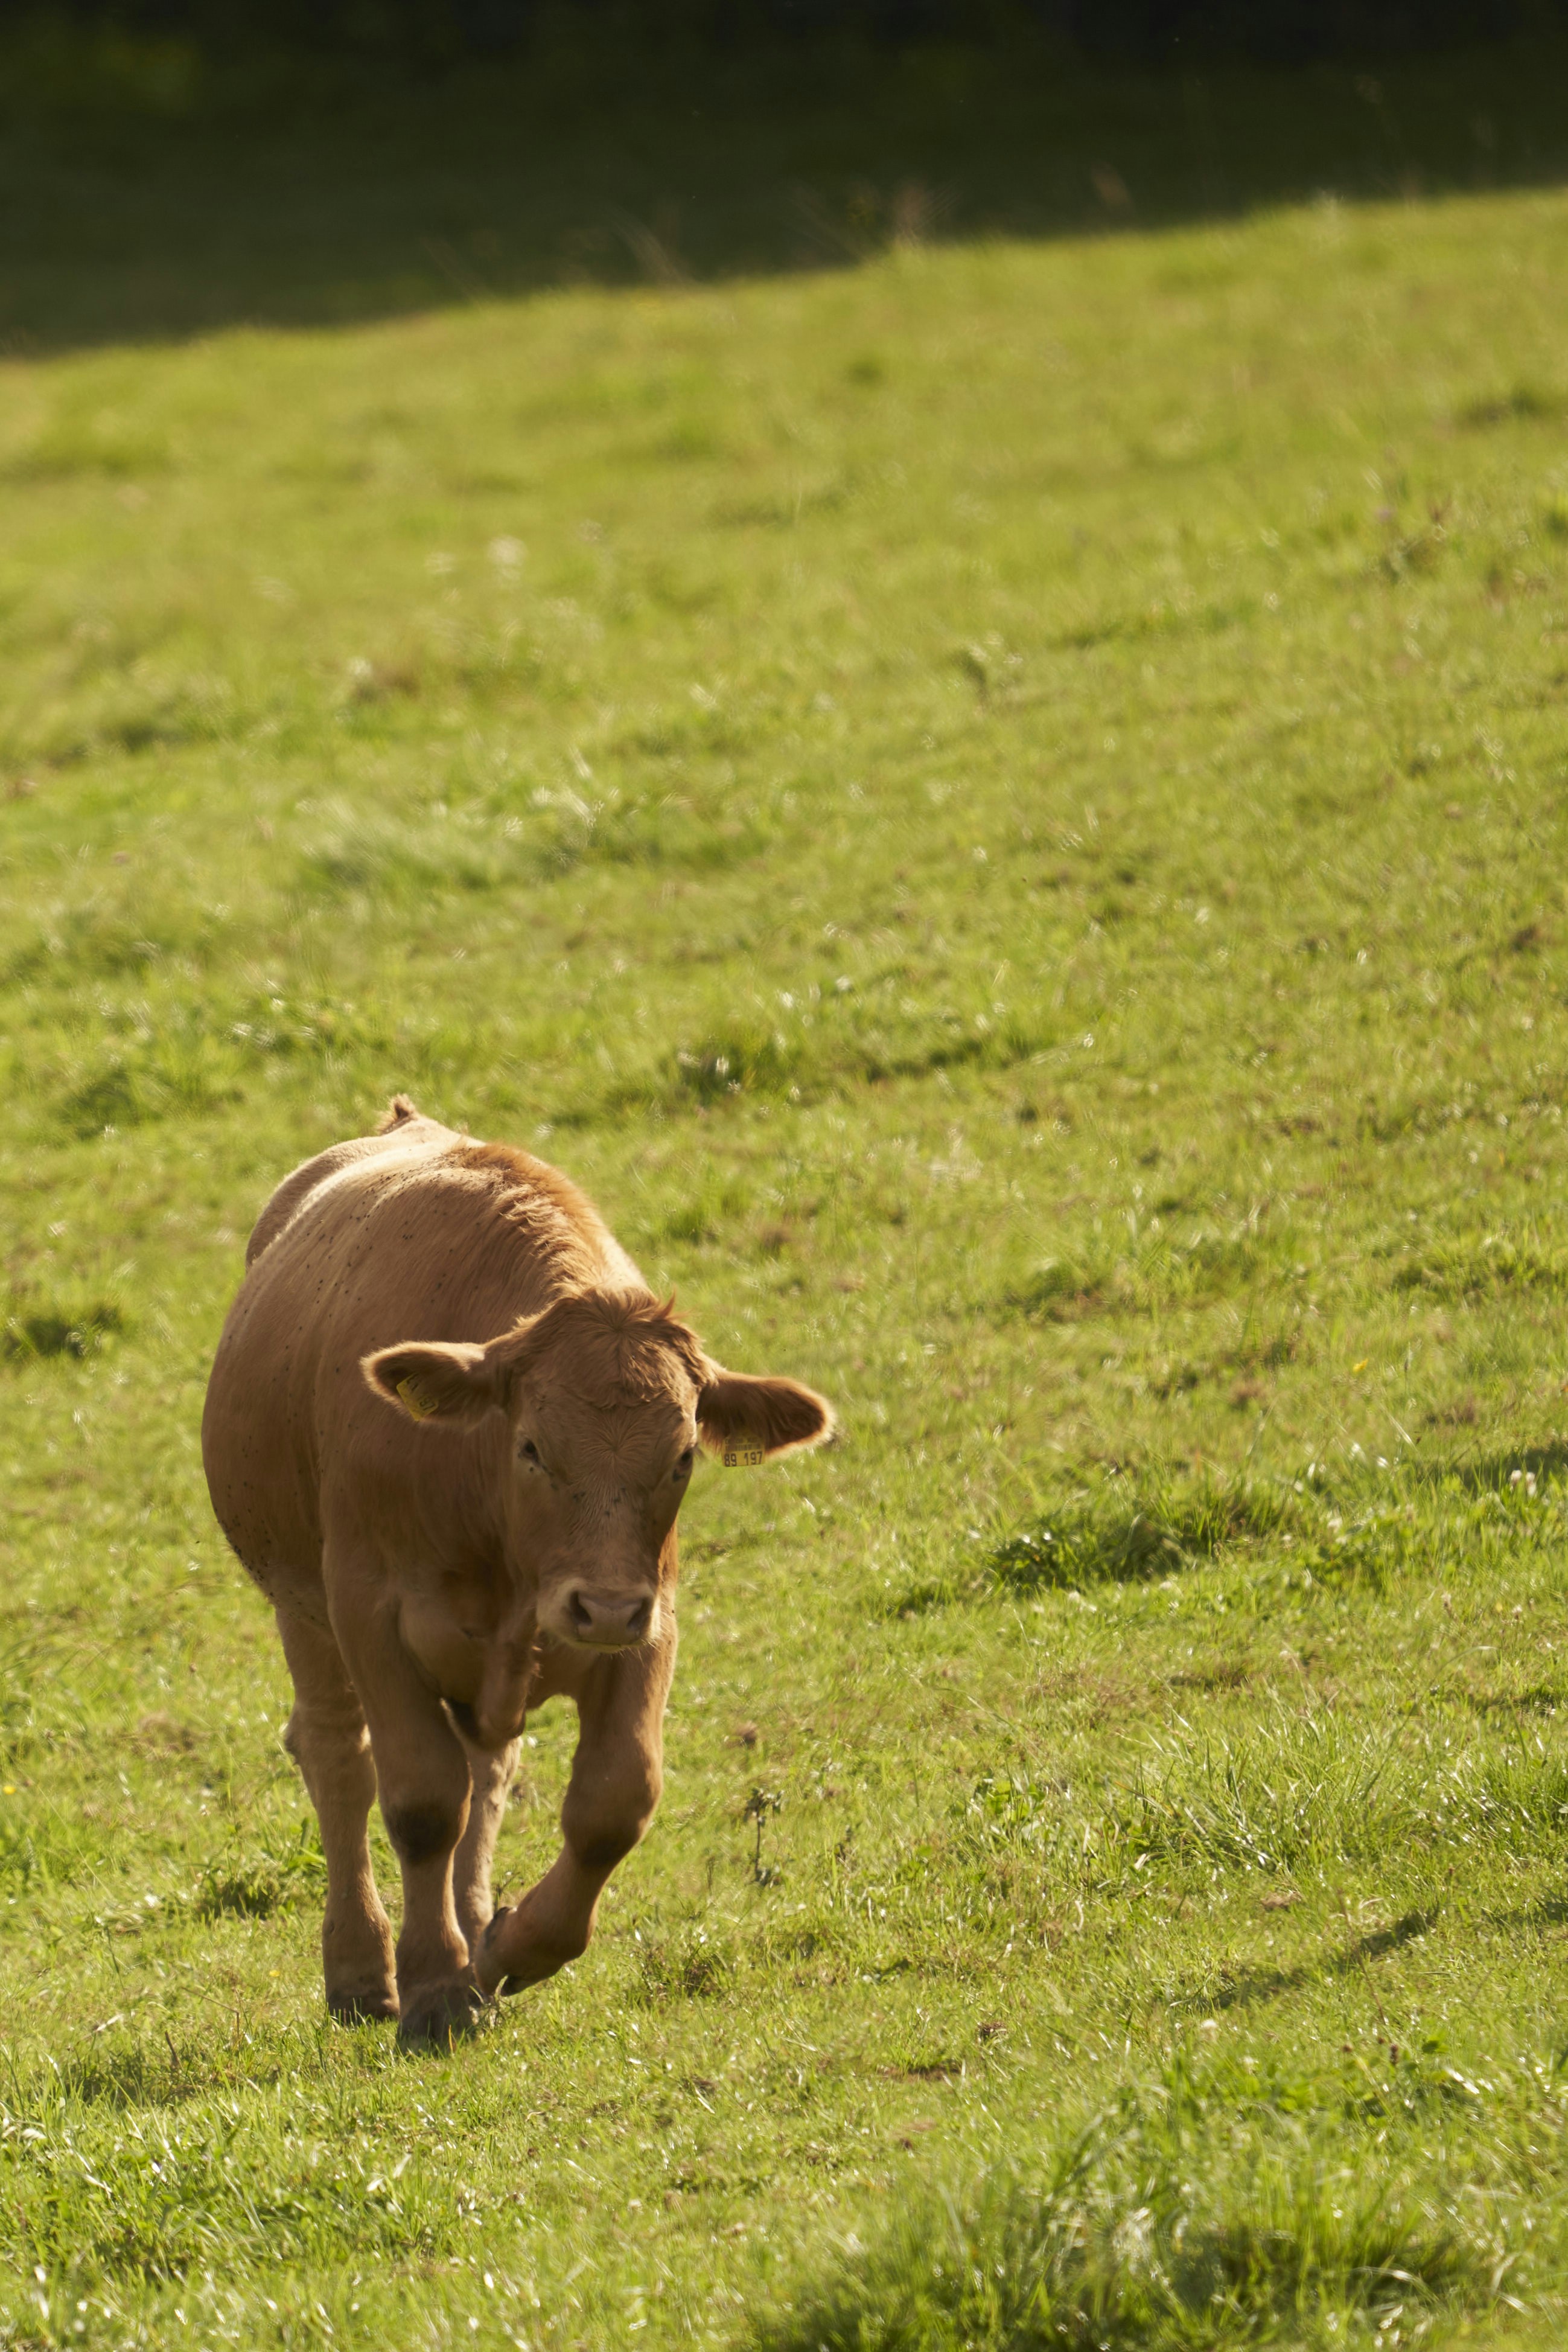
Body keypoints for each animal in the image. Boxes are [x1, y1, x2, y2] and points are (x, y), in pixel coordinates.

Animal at [201, 1097, 832, 2044]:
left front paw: (506, 1950)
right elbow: (421, 1800)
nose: (601, 1609)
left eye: (683, 1455)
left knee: (486, 1771)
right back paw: (361, 1970)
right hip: (299, 1604)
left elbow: (614, 1800)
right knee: (338, 1755)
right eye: (531, 1446)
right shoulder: (369, 1615)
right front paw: (432, 1986)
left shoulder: (652, 1620)